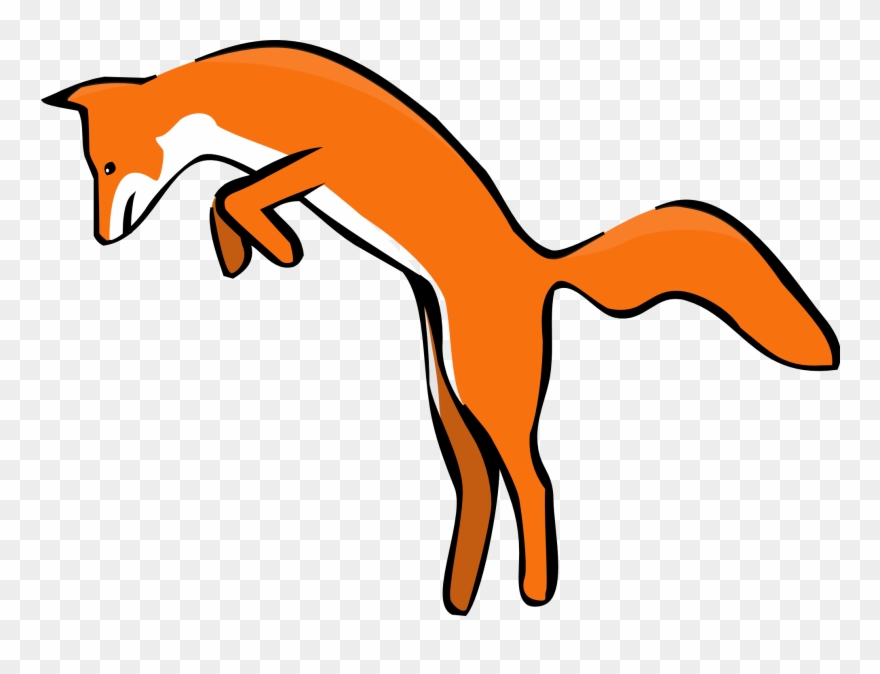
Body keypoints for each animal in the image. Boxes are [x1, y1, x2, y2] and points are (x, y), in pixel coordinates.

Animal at [43, 41, 840, 616]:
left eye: (107, 166)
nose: (102, 236)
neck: (239, 95)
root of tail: (541, 264)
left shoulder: (326, 158)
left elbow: (233, 192)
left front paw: (273, 246)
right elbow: (226, 195)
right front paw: (245, 252)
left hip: (488, 391)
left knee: (534, 483)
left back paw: (534, 593)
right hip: (447, 395)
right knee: (480, 489)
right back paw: (458, 598)